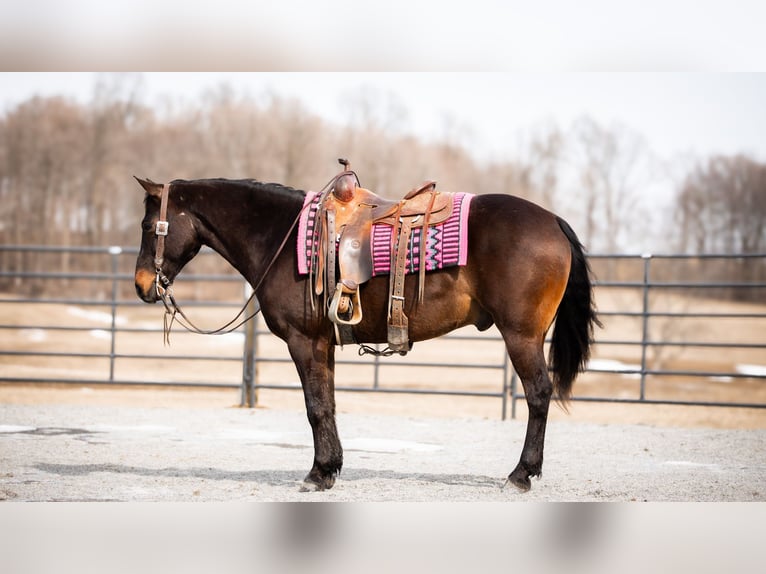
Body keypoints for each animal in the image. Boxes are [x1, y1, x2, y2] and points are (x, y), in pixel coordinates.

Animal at [134, 177, 600, 496]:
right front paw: (331, 467)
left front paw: (318, 474)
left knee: (538, 394)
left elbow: (315, 407)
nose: (141, 285)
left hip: (521, 336)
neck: (280, 236)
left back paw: (521, 474)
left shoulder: (304, 342)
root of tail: (553, 221)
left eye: (147, 225)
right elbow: (329, 404)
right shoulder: (323, 345)